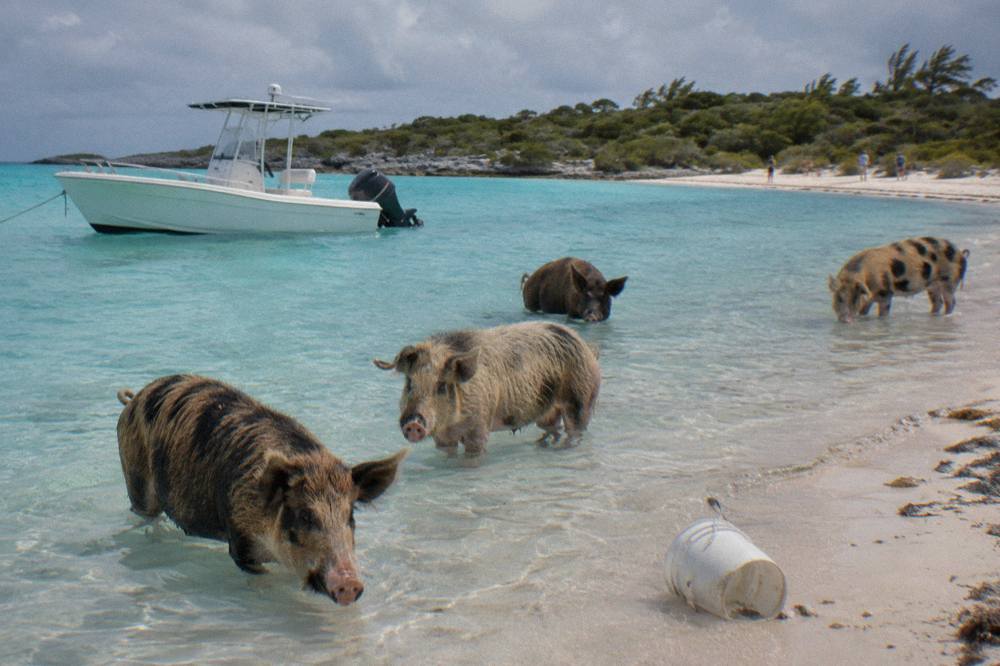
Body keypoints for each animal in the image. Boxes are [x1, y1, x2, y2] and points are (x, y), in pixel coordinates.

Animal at [115, 374, 406, 606]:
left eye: (351, 516)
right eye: (305, 515)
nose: (349, 583)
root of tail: (133, 399)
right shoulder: (241, 543)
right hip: (136, 479)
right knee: (144, 515)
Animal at [373, 322, 601, 456]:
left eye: (442, 385)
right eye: (410, 383)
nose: (413, 423)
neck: (453, 424)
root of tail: (587, 347)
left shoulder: (480, 425)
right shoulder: (443, 437)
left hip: (581, 399)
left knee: (575, 430)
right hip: (547, 411)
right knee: (553, 429)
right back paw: (538, 445)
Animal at [828, 237, 970, 323]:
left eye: (855, 299)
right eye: (839, 298)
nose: (846, 320)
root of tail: (961, 253)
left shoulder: (886, 293)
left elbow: (883, 311)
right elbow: (864, 310)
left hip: (949, 281)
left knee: (951, 301)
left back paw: (947, 315)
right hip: (932, 286)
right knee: (938, 302)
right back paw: (932, 315)